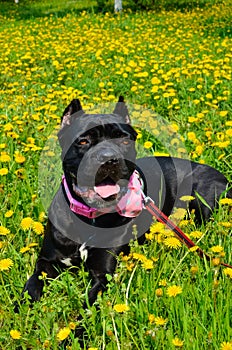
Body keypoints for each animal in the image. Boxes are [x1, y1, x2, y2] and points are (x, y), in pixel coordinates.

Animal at [21, 95, 230, 336]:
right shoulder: (46, 262)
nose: (108, 158)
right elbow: (30, 288)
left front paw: (74, 335)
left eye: (124, 141)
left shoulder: (103, 275)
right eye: (83, 141)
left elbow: (88, 309)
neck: (89, 216)